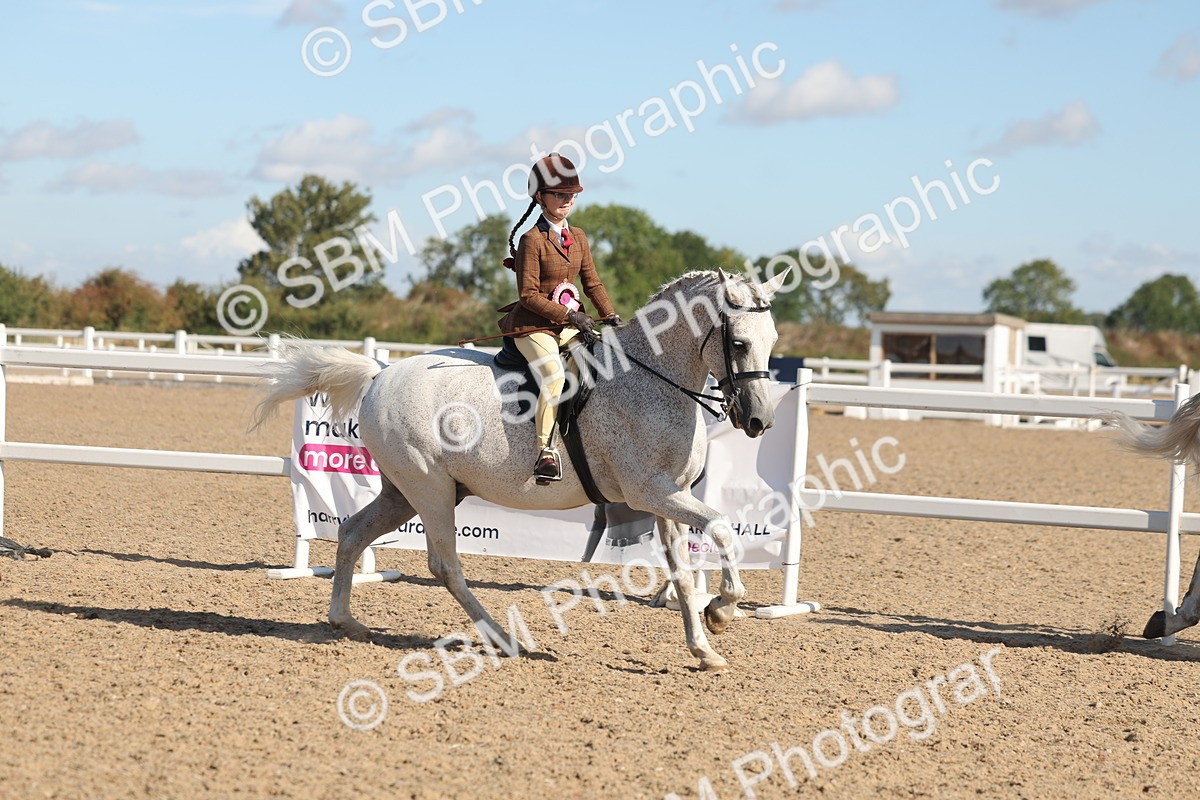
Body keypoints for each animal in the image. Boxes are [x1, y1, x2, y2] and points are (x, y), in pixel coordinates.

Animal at [254, 268, 792, 672]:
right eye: (739, 344)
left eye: (772, 340)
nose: (760, 421)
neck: (651, 379)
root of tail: (380, 373)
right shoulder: (651, 493)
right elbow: (722, 528)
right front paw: (722, 610)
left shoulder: (668, 499)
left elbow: (682, 572)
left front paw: (704, 650)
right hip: (429, 490)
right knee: (444, 564)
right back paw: (505, 640)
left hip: (404, 492)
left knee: (351, 532)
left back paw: (345, 621)